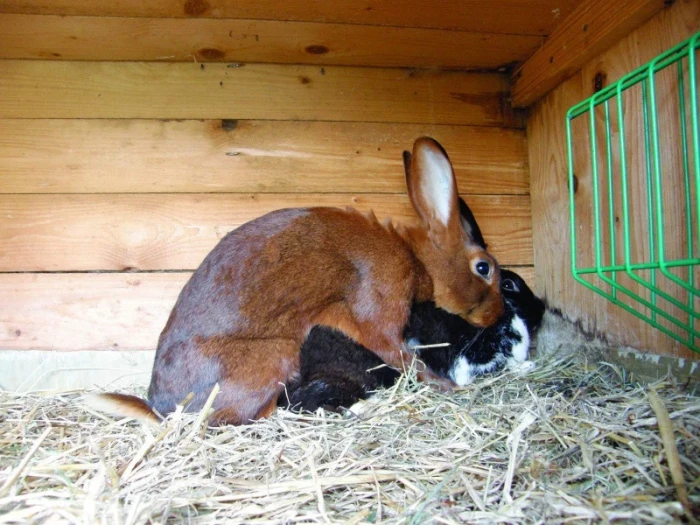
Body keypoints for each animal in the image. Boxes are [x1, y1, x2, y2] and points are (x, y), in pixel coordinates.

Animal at [87, 137, 504, 426]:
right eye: (484, 268)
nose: (498, 315)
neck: (418, 259)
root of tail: (163, 409)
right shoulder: (380, 312)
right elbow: (400, 354)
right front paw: (449, 387)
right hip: (275, 357)